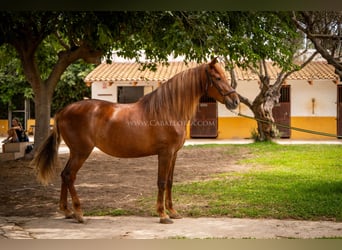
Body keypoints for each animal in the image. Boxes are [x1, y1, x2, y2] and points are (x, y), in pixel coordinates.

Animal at [30, 57, 239, 224]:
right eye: (218, 78)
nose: (235, 101)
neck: (168, 110)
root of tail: (62, 112)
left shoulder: (174, 154)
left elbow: (170, 182)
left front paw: (173, 212)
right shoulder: (165, 153)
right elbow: (161, 182)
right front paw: (163, 215)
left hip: (75, 152)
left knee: (64, 175)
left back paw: (67, 212)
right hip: (81, 152)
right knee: (69, 176)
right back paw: (79, 214)